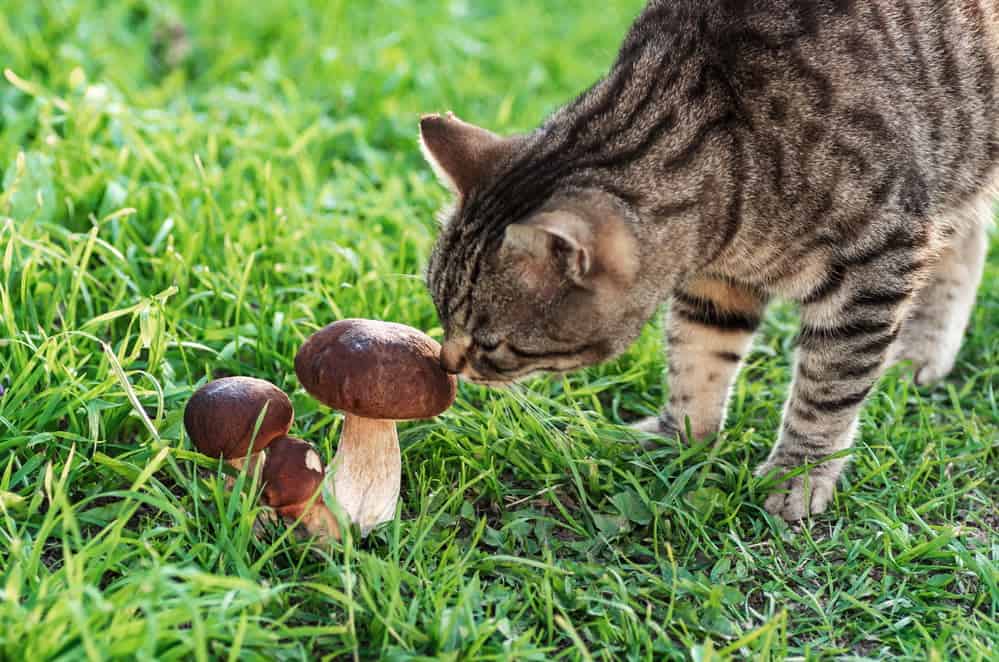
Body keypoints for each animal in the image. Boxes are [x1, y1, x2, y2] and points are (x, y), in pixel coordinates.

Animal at [418, 2, 996, 528]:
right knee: (965, 237)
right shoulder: (717, 283)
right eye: (439, 311)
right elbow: (697, 358)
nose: (445, 363)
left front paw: (798, 474)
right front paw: (677, 438)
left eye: (492, 344)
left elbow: (827, 389)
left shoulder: (873, 267)